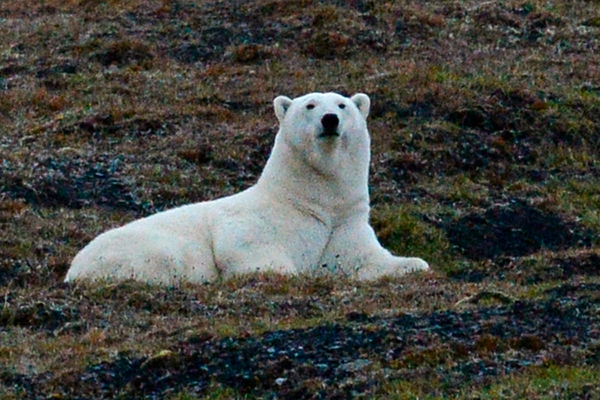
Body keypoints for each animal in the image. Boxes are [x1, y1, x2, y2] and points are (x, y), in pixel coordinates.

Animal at [65, 92, 428, 284]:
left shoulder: (344, 224)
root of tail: (72, 269)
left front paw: (413, 264)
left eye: (342, 105)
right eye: (310, 105)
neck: (312, 200)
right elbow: (246, 249)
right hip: (137, 249)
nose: (330, 120)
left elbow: (368, 259)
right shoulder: (253, 223)